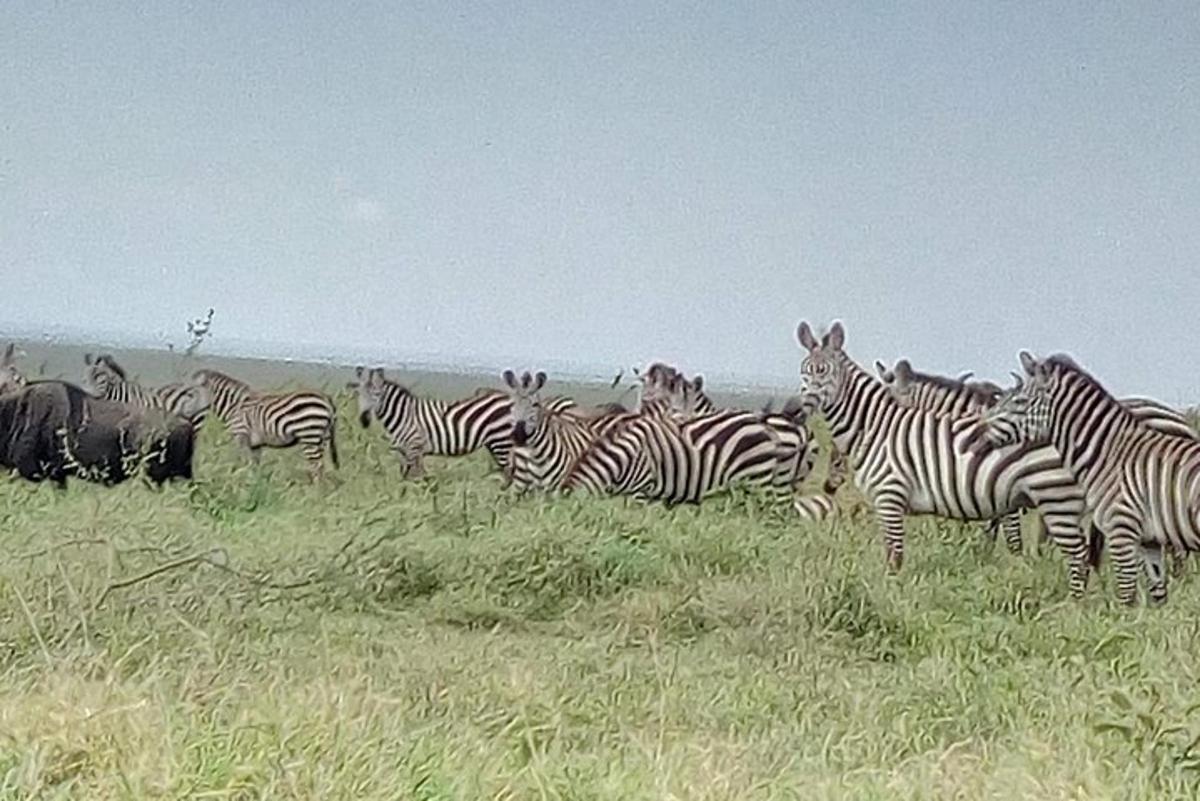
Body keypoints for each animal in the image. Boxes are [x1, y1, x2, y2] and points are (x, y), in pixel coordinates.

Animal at [193, 369, 338, 474]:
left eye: (190, 393)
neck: (233, 406)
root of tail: (325, 398)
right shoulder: (255, 444)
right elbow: (255, 466)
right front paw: (257, 485)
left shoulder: (241, 436)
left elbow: (243, 462)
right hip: (322, 437)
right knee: (322, 465)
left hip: (309, 434)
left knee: (317, 466)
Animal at [350, 366, 573, 479]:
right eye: (359, 394)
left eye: (376, 395)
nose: (363, 420)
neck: (404, 414)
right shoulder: (406, 451)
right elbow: (408, 476)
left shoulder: (415, 446)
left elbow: (415, 475)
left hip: (501, 442)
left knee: (510, 471)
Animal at [792, 321, 1094, 594]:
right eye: (803, 372)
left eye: (824, 372)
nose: (798, 407)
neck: (876, 426)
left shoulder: (891, 496)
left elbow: (895, 556)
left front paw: (891, 594)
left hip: (1056, 496)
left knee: (1078, 555)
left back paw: (1074, 606)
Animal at [979, 352, 1200, 604]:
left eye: (1018, 401)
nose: (979, 432)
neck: (1110, 452)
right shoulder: (1148, 540)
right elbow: (1157, 594)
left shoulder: (1121, 530)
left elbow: (1126, 596)